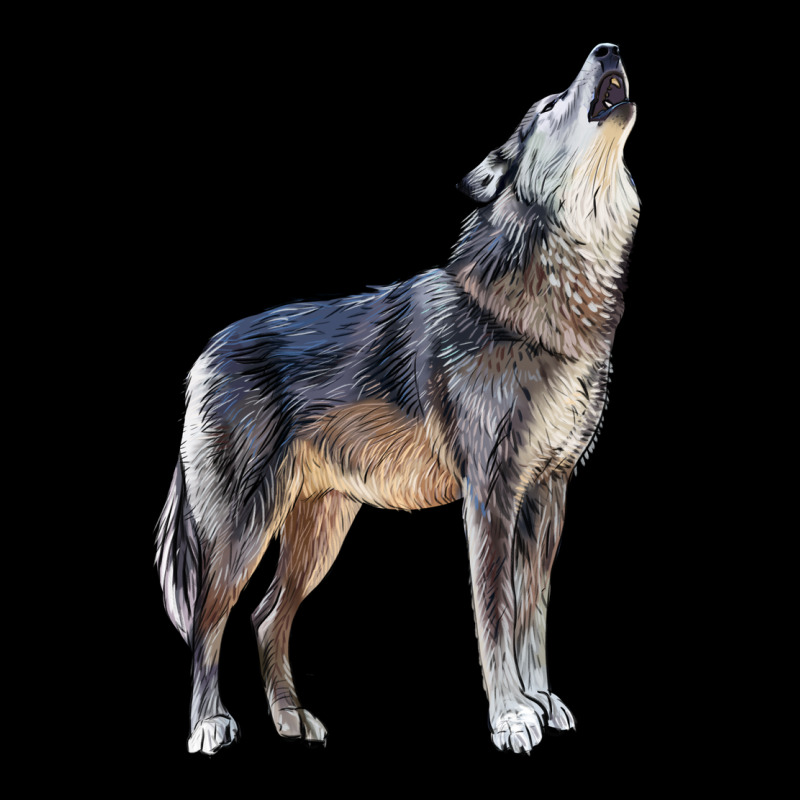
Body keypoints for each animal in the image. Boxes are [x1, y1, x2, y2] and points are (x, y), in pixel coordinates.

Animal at [156, 43, 639, 755]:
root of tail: (201, 359)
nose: (608, 48)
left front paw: (542, 700)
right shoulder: (491, 494)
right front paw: (512, 716)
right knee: (206, 623)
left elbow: (534, 617)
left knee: (267, 616)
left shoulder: (548, 494)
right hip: (243, 529)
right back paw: (209, 725)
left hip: (321, 530)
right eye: (552, 103)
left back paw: (291, 719)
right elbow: (496, 615)